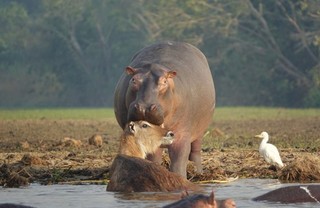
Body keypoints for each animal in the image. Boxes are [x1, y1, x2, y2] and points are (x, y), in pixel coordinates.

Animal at [113, 41, 215, 177]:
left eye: (164, 81)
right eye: (133, 80)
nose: (144, 107)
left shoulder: (182, 134)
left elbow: (179, 160)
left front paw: (180, 177)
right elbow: (153, 156)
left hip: (199, 130)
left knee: (195, 150)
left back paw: (198, 172)